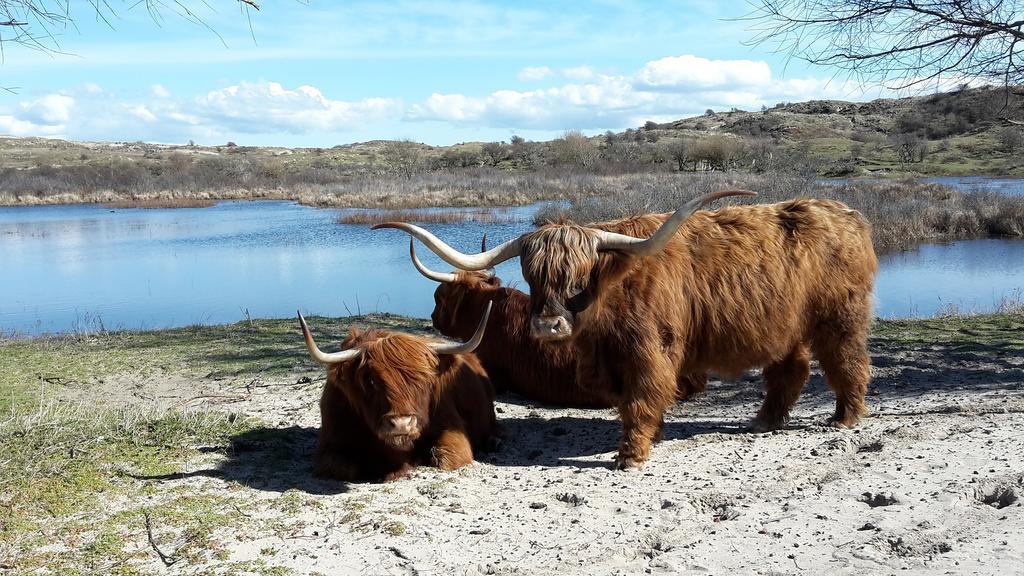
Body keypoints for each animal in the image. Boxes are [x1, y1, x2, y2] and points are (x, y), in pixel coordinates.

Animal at [296, 303, 499, 481]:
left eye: (425, 379)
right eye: (371, 380)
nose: (402, 424)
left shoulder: (451, 429)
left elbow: (445, 458)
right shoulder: (330, 444)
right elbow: (343, 468)